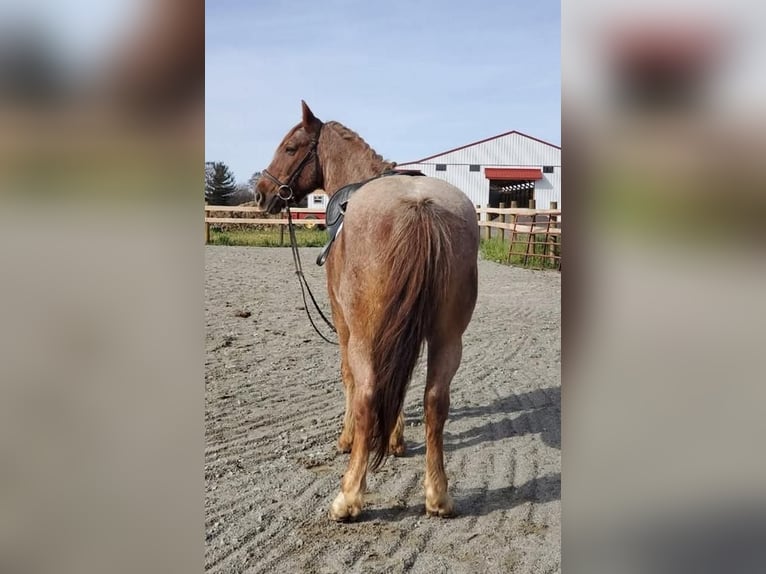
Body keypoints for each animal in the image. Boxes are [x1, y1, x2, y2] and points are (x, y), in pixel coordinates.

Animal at [258, 102, 480, 520]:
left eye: (291, 148)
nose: (261, 193)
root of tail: (420, 207)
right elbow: (402, 383)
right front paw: (395, 439)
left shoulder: (344, 322)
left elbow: (349, 377)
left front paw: (347, 439)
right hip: (448, 337)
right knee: (435, 400)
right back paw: (438, 495)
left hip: (364, 333)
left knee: (366, 394)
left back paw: (348, 497)